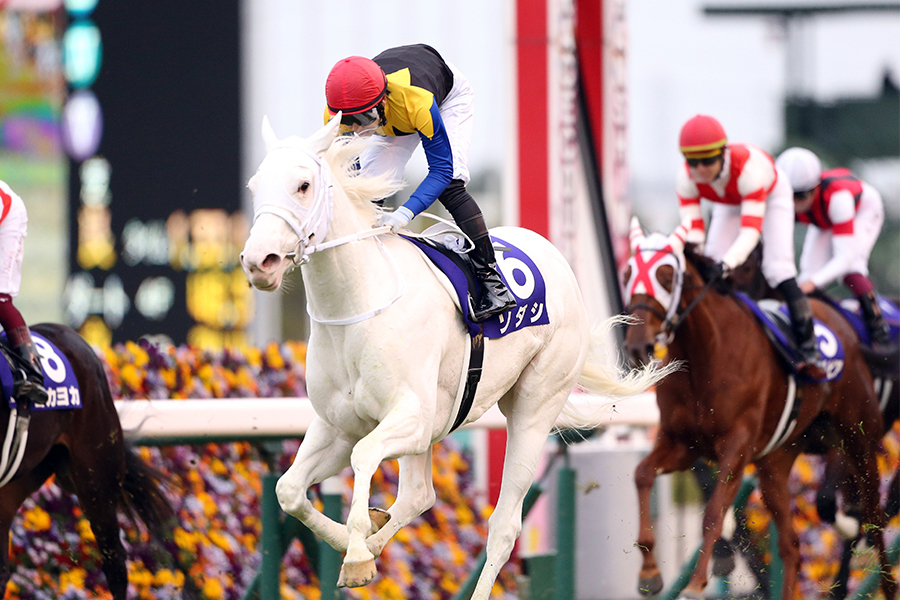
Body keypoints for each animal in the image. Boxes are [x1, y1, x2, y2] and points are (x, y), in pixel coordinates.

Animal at [239, 115, 676, 596]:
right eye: (255, 185)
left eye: (302, 185)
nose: (259, 261)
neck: (356, 307)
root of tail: (556, 257)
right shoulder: (340, 424)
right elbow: (289, 490)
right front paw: (359, 540)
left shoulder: (410, 417)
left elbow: (364, 456)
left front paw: (357, 554)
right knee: (418, 495)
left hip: (536, 405)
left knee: (503, 526)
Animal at [624, 221, 896, 600]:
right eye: (627, 273)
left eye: (666, 277)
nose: (638, 345)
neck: (706, 354)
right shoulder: (681, 443)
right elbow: (642, 474)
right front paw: (649, 572)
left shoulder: (735, 446)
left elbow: (713, 512)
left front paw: (695, 583)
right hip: (775, 465)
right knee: (792, 545)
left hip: (859, 439)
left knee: (874, 519)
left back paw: (886, 582)